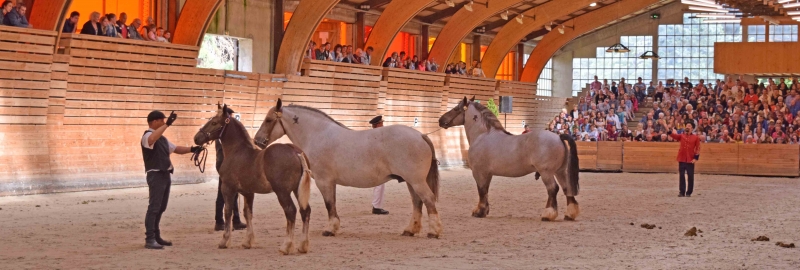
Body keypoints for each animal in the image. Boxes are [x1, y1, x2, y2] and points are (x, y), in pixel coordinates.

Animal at [195, 104, 314, 254]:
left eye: (214, 122)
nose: (196, 138)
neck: (237, 151)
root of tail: (296, 152)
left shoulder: (228, 189)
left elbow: (227, 212)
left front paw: (224, 241)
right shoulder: (248, 192)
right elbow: (248, 213)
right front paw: (247, 242)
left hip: (282, 192)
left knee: (291, 211)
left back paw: (286, 246)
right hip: (297, 190)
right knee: (305, 211)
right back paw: (303, 245)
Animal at [255, 99, 444, 238]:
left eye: (269, 120)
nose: (257, 141)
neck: (318, 135)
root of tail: (420, 135)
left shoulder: (324, 181)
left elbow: (329, 204)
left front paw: (330, 229)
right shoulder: (330, 182)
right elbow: (332, 204)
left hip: (416, 181)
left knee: (428, 200)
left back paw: (434, 232)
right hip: (411, 182)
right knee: (417, 202)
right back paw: (410, 230)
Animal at [438, 97, 580, 221]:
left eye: (456, 109)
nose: (440, 120)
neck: (482, 135)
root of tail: (558, 137)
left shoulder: (479, 173)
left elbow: (481, 191)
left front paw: (479, 212)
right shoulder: (487, 174)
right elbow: (485, 191)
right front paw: (484, 211)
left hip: (547, 173)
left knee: (552, 189)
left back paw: (548, 214)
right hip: (560, 172)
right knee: (567, 188)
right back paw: (569, 214)